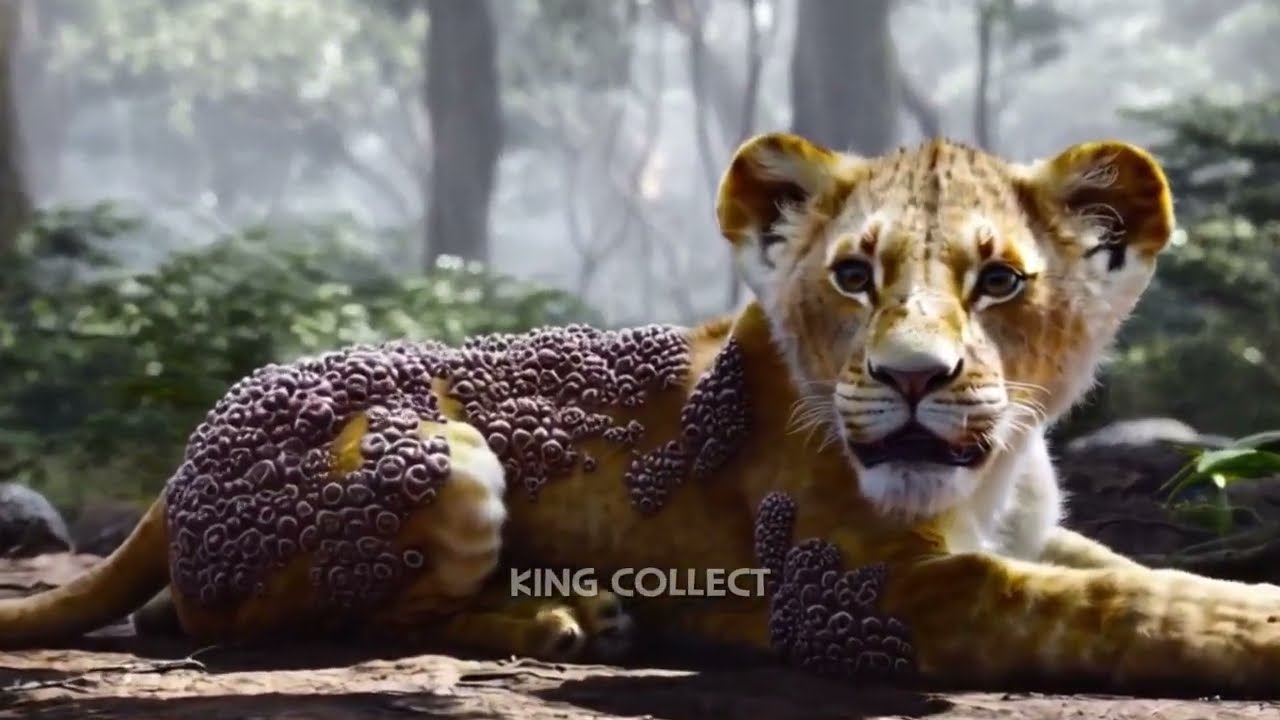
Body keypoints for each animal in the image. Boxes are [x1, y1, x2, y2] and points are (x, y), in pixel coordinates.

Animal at [3, 131, 1278, 693]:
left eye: (1000, 281)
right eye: (851, 274)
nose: (913, 376)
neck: (993, 461)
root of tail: (182, 463)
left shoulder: (1027, 531)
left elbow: (1139, 569)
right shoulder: (860, 591)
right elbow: (1130, 606)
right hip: (448, 457)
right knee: (324, 622)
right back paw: (566, 619)